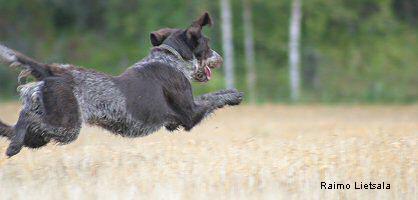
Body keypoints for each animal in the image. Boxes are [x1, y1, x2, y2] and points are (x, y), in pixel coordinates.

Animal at [0, 12, 242, 157]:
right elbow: (215, 97)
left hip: (45, 129)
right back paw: (13, 147)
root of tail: (51, 71)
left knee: (18, 125)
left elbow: (210, 96)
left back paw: (11, 141)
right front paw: (234, 94)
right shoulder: (189, 114)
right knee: (28, 120)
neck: (171, 59)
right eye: (207, 45)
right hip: (67, 126)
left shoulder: (178, 119)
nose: (220, 58)